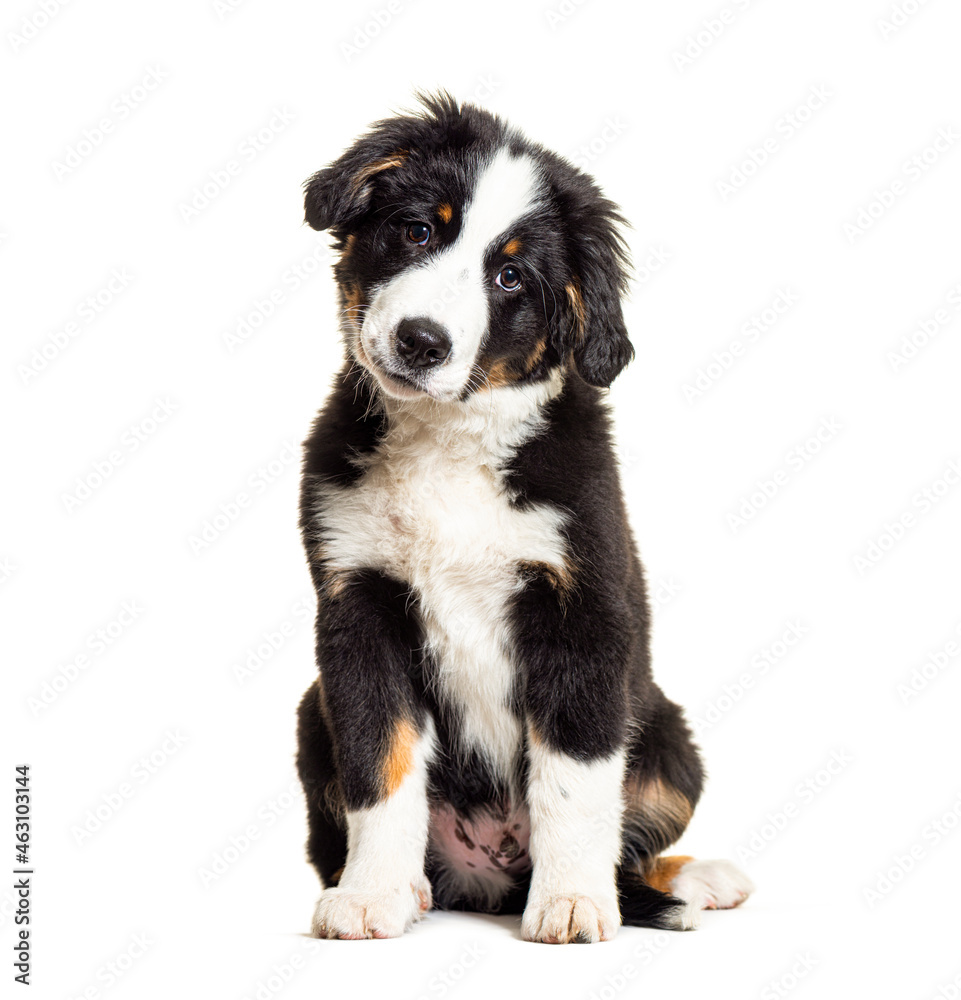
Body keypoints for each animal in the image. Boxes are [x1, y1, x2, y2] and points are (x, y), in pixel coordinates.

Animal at [292, 90, 752, 940]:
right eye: (417, 230)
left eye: (509, 276)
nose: (421, 342)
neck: (447, 443)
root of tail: (490, 877)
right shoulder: (356, 610)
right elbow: (380, 764)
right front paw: (371, 894)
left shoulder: (582, 613)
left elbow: (572, 780)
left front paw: (570, 902)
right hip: (311, 709)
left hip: (669, 737)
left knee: (632, 837)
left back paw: (695, 876)